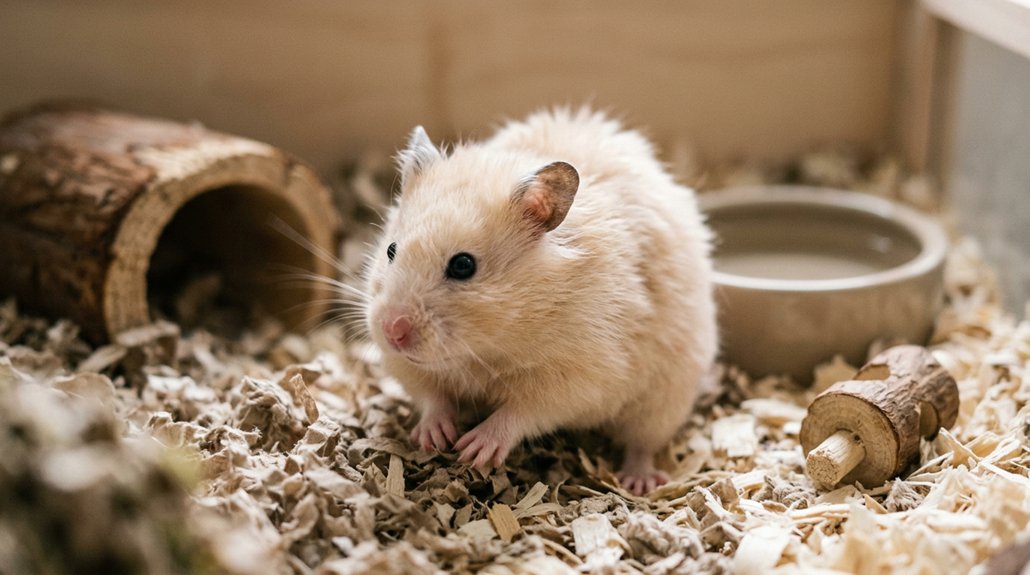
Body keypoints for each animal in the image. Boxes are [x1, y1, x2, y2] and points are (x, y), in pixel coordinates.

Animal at [363, 108, 717, 494]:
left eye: (463, 265)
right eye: (390, 250)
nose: (392, 331)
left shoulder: (580, 377)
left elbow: (523, 412)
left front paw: (473, 450)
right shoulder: (408, 367)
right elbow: (432, 397)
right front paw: (433, 437)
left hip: (664, 398)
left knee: (643, 443)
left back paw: (637, 482)